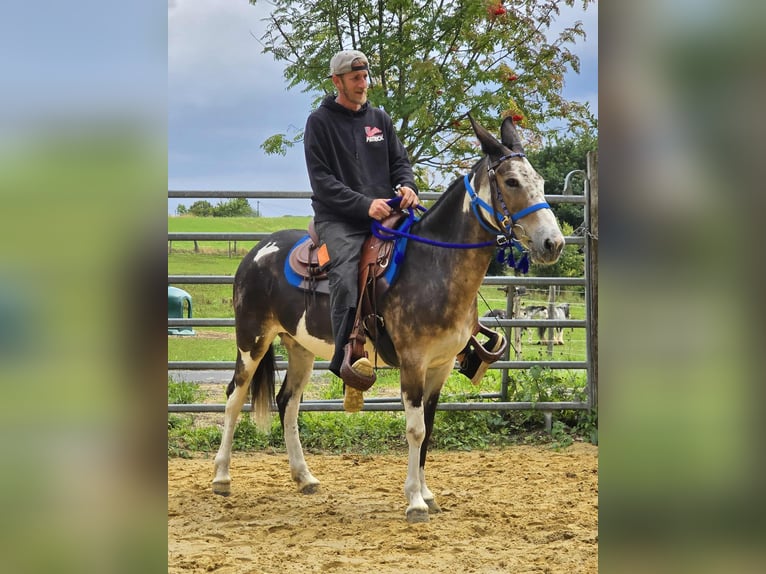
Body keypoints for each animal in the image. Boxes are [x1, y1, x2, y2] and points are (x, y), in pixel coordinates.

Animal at [211, 115, 564, 523]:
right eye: (511, 181)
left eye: (540, 180)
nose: (554, 243)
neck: (432, 266)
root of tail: (256, 251)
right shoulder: (413, 362)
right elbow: (414, 430)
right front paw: (414, 502)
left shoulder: (441, 365)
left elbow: (429, 427)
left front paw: (427, 494)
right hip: (251, 340)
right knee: (234, 397)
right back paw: (221, 477)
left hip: (300, 347)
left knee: (288, 403)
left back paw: (304, 477)